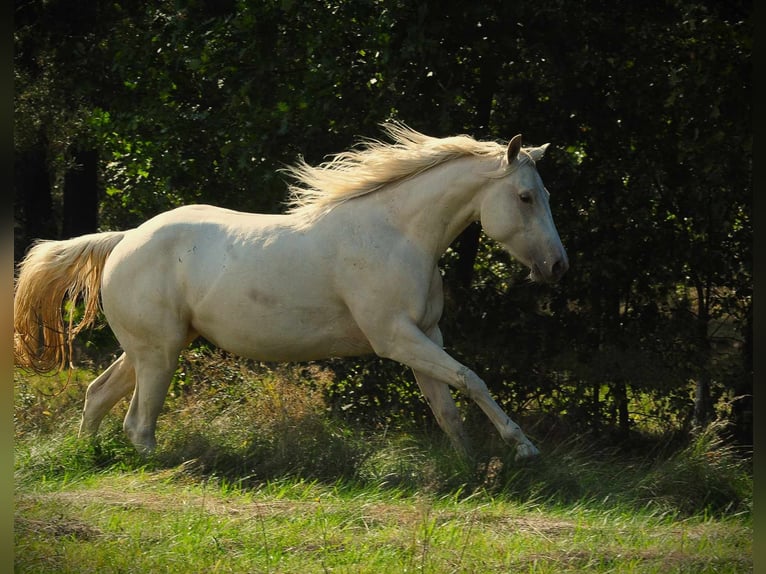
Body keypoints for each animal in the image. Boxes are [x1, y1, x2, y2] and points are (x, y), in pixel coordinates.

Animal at [13, 122, 568, 464]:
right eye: (525, 197)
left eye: (544, 193)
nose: (558, 266)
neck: (397, 234)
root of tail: (124, 239)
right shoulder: (396, 337)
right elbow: (472, 379)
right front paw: (523, 450)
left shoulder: (425, 335)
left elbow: (447, 406)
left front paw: (471, 470)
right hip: (158, 354)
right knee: (138, 424)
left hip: (152, 349)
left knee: (97, 394)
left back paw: (88, 457)